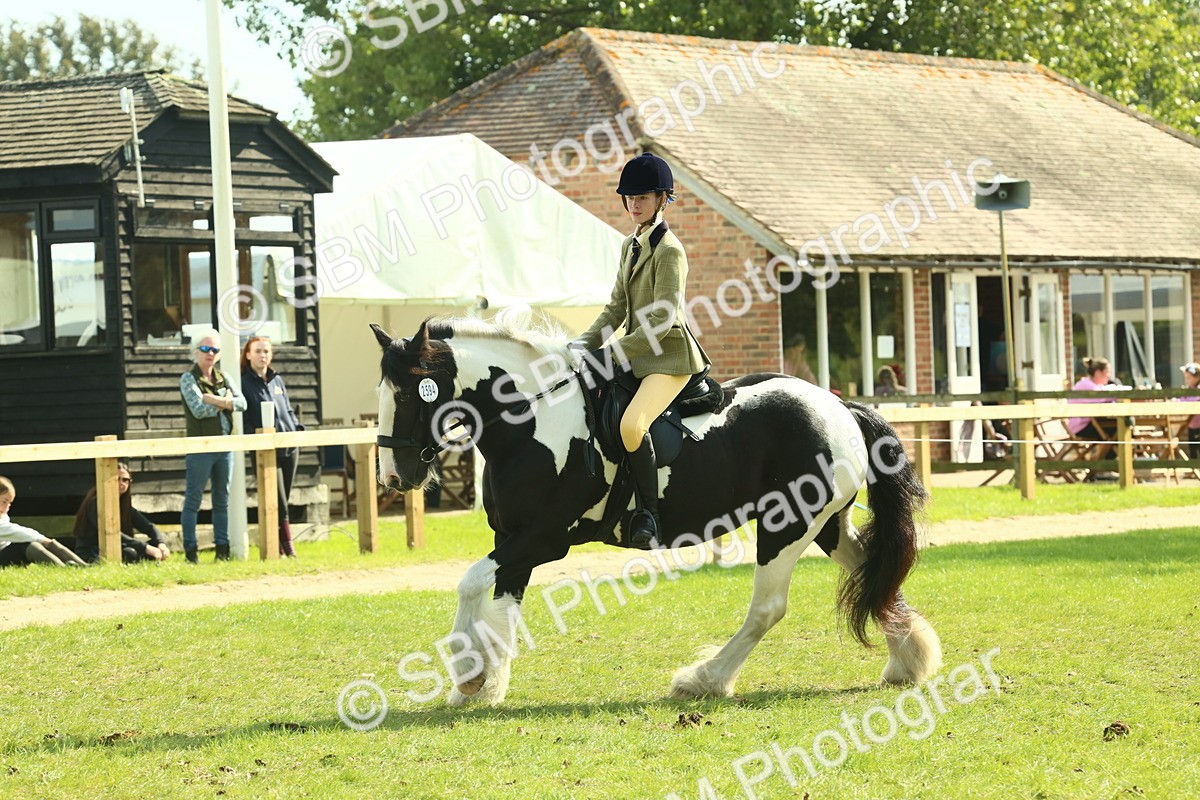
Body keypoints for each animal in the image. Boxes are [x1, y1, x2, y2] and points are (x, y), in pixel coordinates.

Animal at [371, 309, 941, 706]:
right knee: (872, 571)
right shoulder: (512, 539)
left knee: (768, 608)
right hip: (825, 526)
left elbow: (469, 583)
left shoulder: (544, 538)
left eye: (409, 395)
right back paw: (908, 661)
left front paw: (470, 675)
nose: (395, 477)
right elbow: (502, 609)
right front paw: (486, 685)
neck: (532, 420)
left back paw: (704, 680)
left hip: (787, 527)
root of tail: (839, 405)